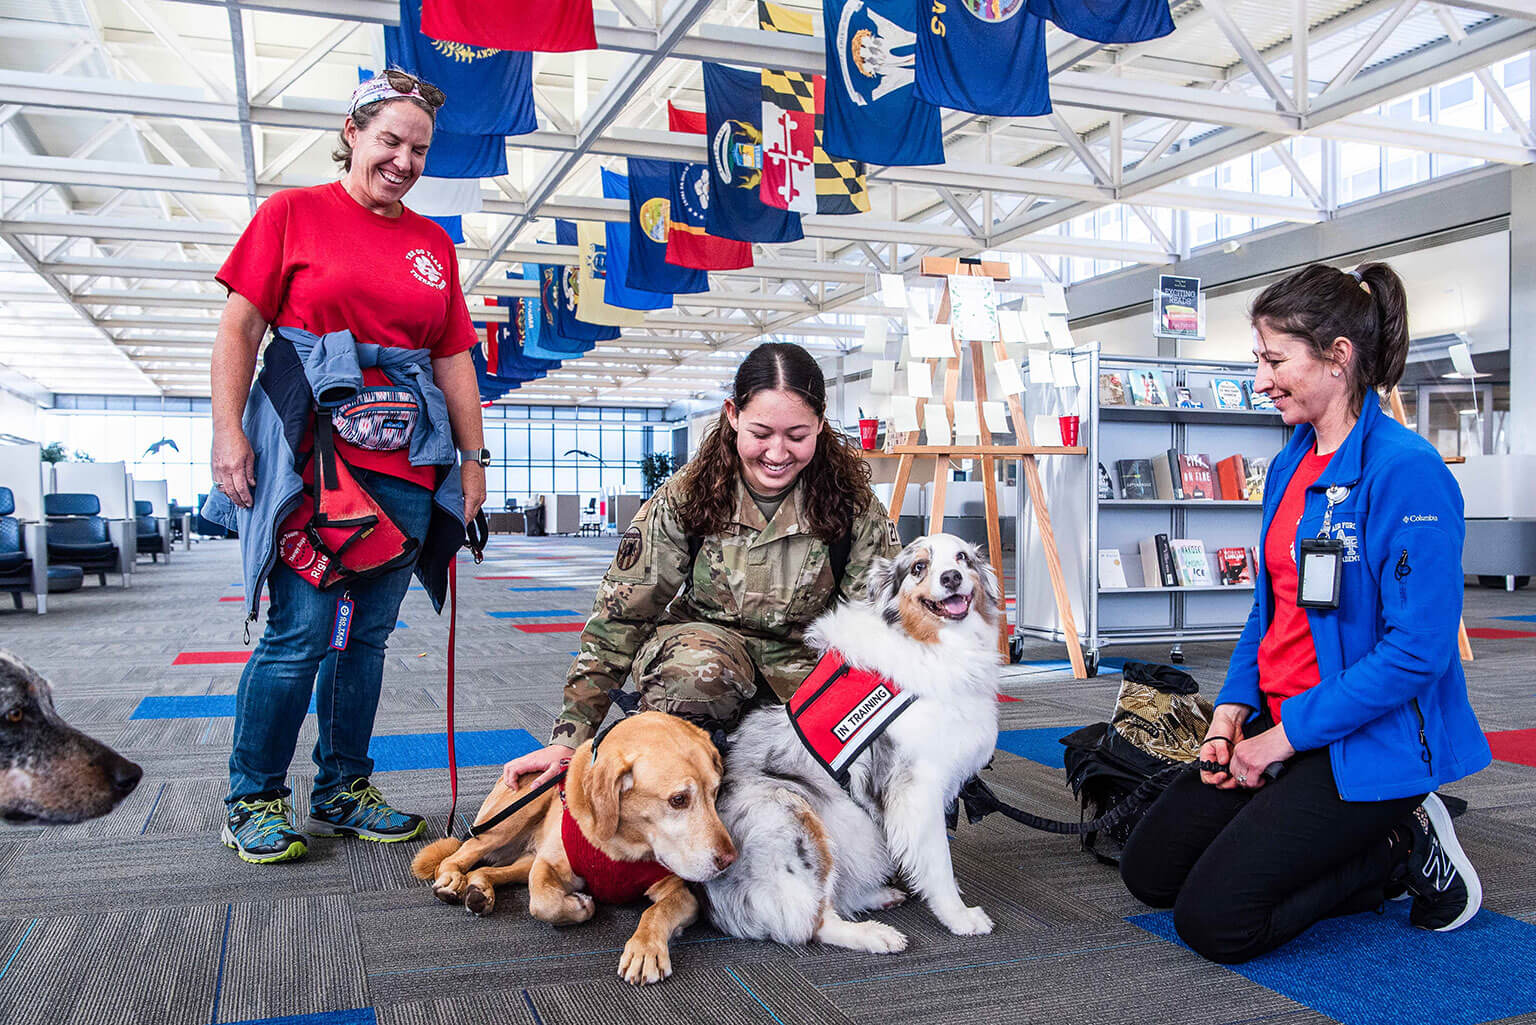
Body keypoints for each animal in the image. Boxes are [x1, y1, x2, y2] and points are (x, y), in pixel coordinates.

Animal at [414, 713, 737, 983]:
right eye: (678, 799)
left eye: (716, 792)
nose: (729, 859)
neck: (619, 846)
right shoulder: (549, 865)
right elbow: (542, 902)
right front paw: (580, 905)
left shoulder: (681, 891)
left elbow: (657, 911)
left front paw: (645, 949)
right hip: (512, 817)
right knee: (460, 854)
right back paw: (453, 881)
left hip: (527, 853)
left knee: (491, 870)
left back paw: (479, 890)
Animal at [703, 537, 1001, 952]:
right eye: (919, 567)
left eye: (962, 558)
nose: (952, 577)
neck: (931, 643)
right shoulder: (915, 788)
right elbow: (938, 861)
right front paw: (959, 916)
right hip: (794, 813)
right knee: (811, 920)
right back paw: (875, 934)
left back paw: (879, 896)